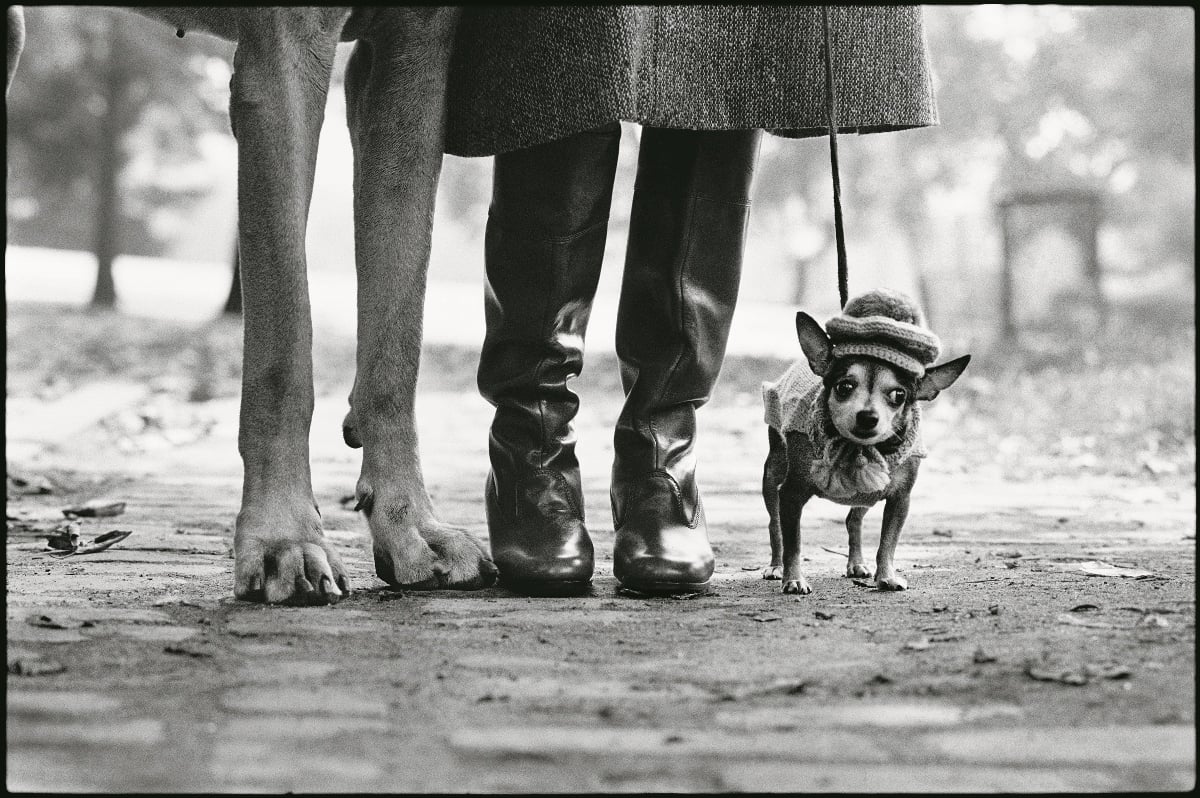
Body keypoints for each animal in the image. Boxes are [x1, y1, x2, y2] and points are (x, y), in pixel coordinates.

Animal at [763, 288, 969, 590]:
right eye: (844, 387)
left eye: (899, 395)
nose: (868, 416)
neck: (858, 448)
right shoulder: (791, 493)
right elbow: (794, 543)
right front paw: (794, 578)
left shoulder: (900, 500)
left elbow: (888, 543)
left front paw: (887, 576)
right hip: (772, 475)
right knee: (775, 525)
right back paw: (776, 566)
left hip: (866, 497)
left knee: (853, 520)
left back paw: (856, 564)